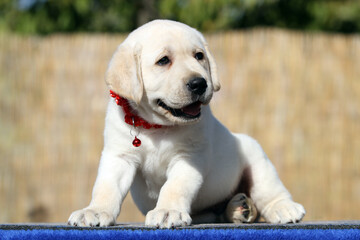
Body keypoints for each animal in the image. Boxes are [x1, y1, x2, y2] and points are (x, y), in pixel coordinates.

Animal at [67, 19, 304, 228]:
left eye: (199, 56)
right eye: (163, 60)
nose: (200, 83)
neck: (157, 127)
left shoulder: (189, 158)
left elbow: (174, 187)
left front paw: (167, 211)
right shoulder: (119, 156)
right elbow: (106, 187)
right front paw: (95, 210)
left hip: (257, 158)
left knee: (268, 191)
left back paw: (283, 208)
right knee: (216, 213)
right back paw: (238, 209)